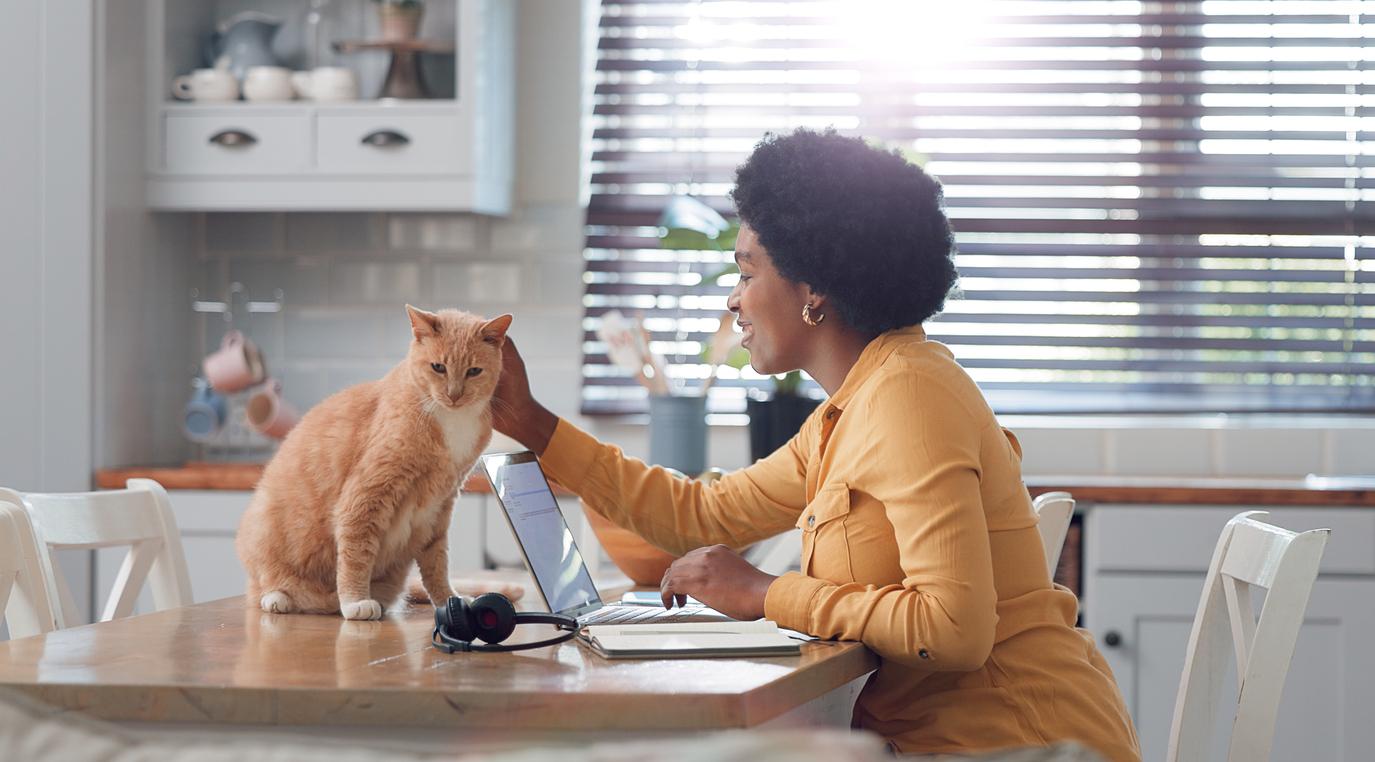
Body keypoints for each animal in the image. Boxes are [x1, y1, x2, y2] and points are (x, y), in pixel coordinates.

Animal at [236, 302, 517, 616]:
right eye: (438, 367)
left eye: (474, 371)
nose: (453, 395)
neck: (449, 419)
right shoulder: (368, 493)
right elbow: (356, 553)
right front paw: (355, 601)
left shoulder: (441, 505)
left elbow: (436, 564)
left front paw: (449, 600)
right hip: (262, 529)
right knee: (264, 584)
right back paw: (279, 599)